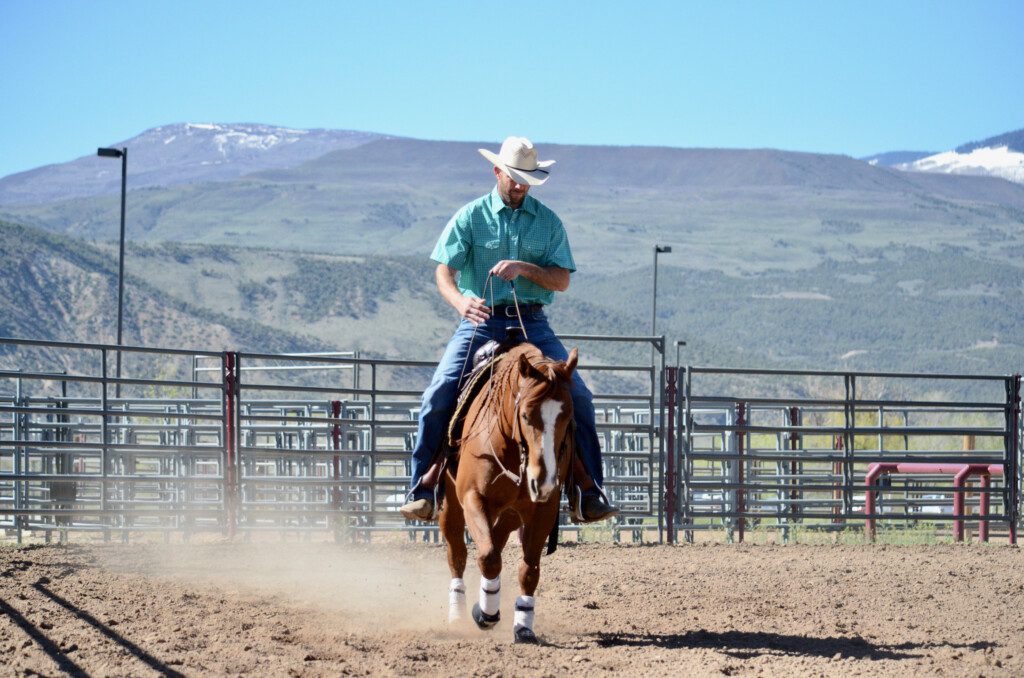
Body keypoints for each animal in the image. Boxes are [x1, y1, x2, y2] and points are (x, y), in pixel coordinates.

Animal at [436, 342, 577, 647]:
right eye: (525, 415)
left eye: (568, 417)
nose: (543, 481)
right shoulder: (473, 498)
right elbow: (488, 557)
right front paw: (485, 613)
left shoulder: (543, 509)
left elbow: (529, 569)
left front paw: (523, 625)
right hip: (451, 505)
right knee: (458, 553)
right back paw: (457, 613)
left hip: (513, 510)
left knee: (498, 537)